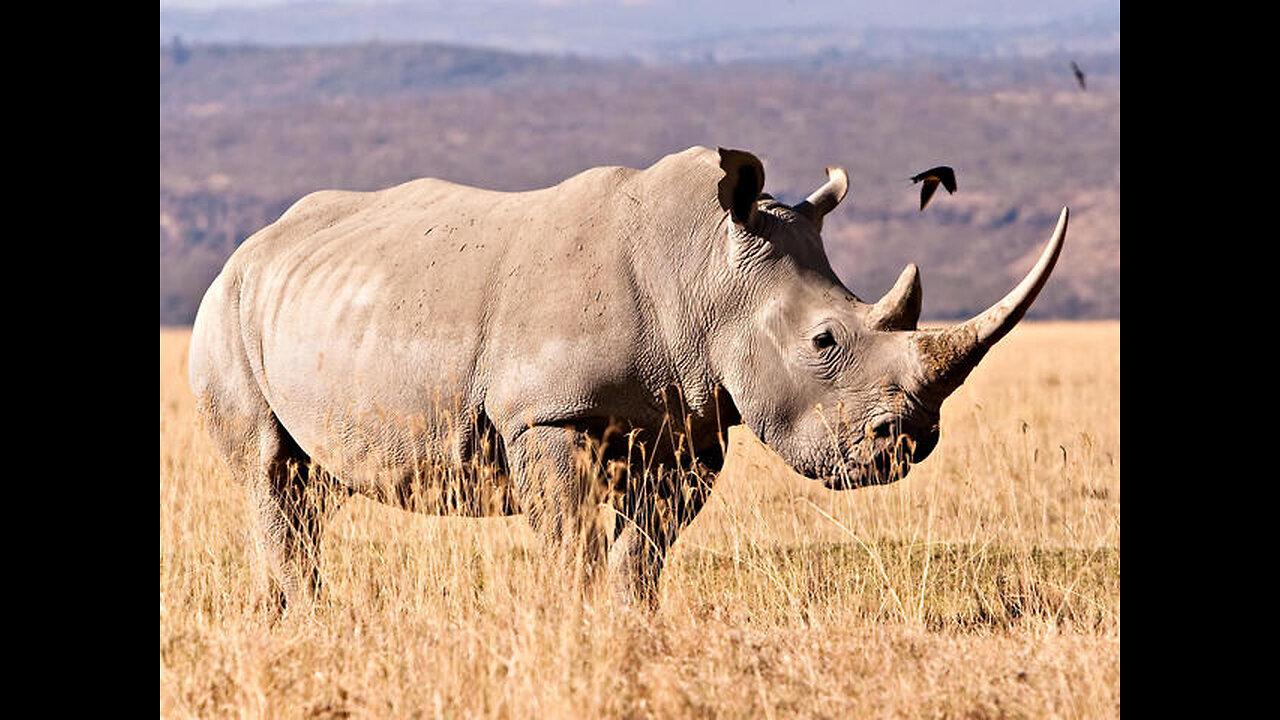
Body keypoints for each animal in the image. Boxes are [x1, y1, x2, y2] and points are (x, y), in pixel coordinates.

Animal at [185, 146, 1064, 609]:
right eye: (823, 340)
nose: (906, 444)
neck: (706, 269)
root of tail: (250, 246)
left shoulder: (691, 427)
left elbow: (644, 548)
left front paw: (627, 622)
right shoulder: (547, 414)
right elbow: (569, 538)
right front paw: (569, 621)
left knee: (310, 487)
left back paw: (293, 617)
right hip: (224, 310)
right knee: (270, 470)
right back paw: (309, 616)